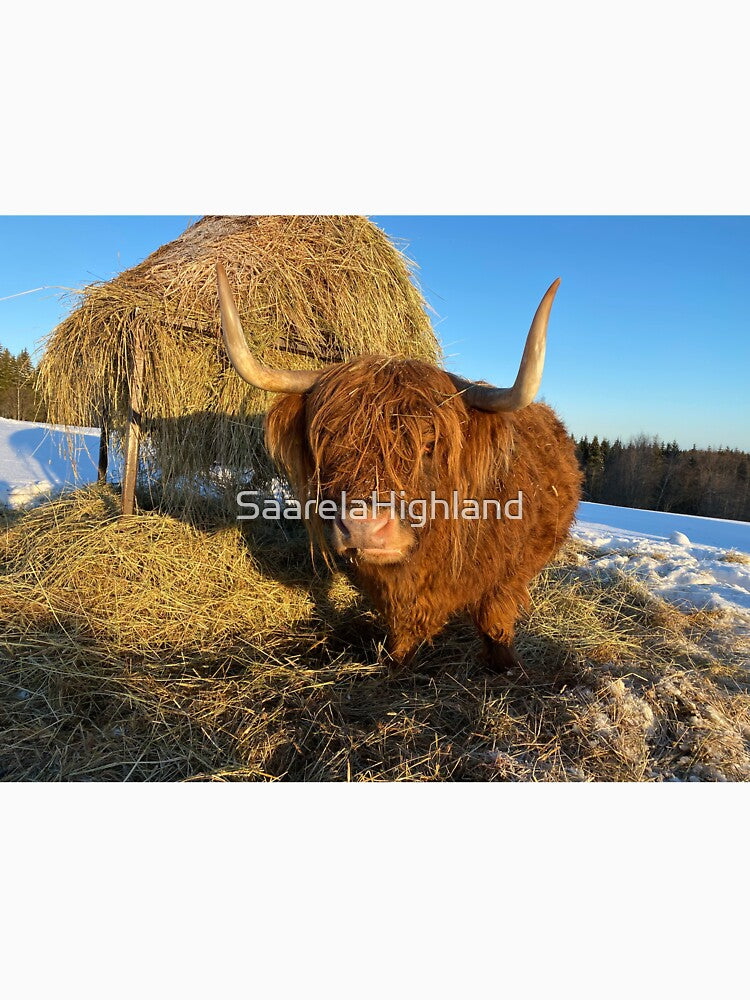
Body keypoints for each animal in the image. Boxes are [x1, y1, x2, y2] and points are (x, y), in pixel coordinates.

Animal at [216, 263, 582, 670]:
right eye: (329, 442)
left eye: (429, 445)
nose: (363, 527)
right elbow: (401, 621)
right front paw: (398, 660)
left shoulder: (506, 577)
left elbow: (495, 619)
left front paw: (503, 664)